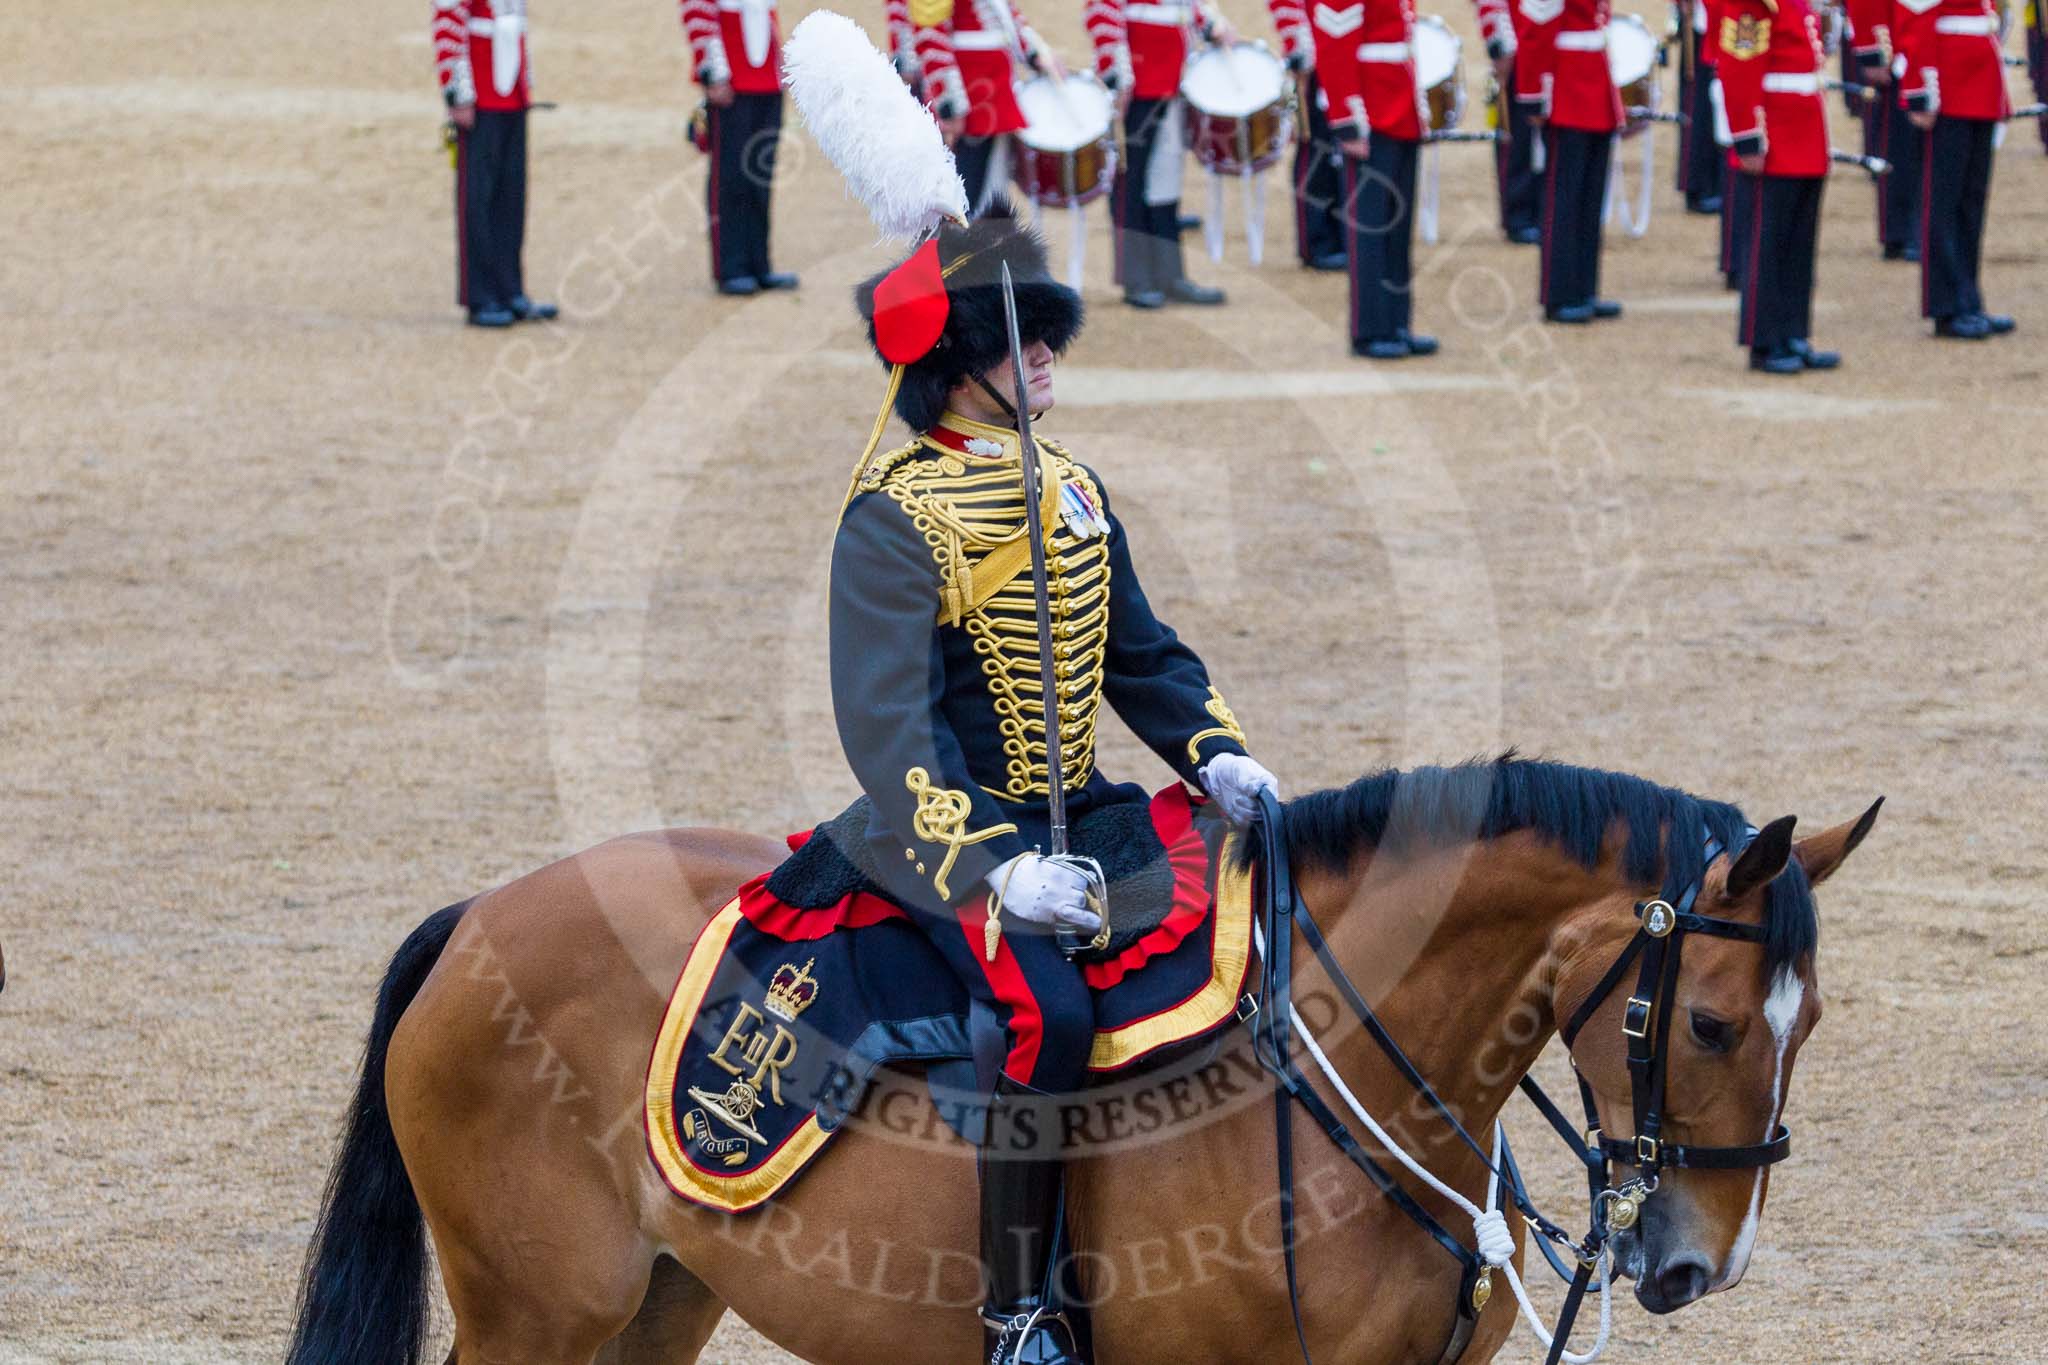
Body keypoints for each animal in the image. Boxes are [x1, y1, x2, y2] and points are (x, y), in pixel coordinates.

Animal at [284, 757, 1875, 1365]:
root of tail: (481, 913)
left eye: (1808, 1026)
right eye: (1712, 1022)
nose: (1701, 1261)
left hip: (660, 1296)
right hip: (535, 1311)